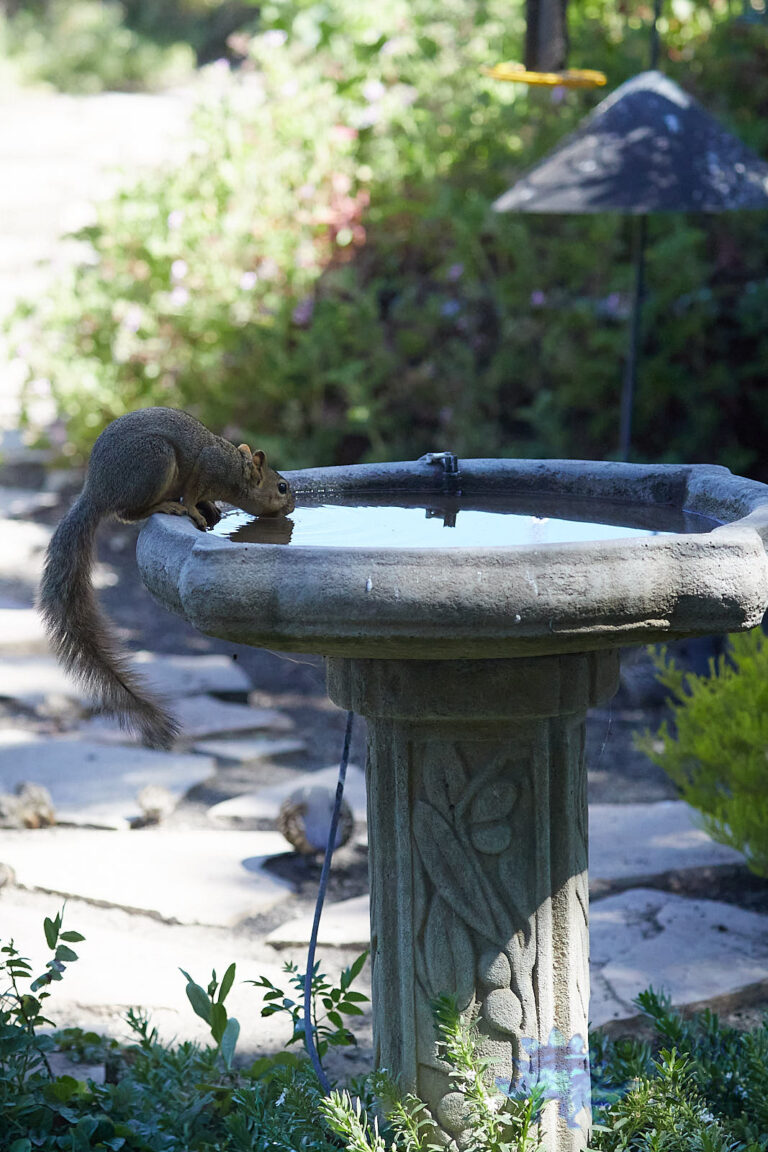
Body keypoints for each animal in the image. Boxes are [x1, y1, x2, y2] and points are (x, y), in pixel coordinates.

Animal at [38, 407, 295, 750]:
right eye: (281, 487)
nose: (292, 506)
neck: (234, 470)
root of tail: (97, 491)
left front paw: (211, 509)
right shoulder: (206, 468)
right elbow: (194, 491)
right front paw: (197, 511)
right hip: (154, 463)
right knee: (127, 514)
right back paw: (168, 506)